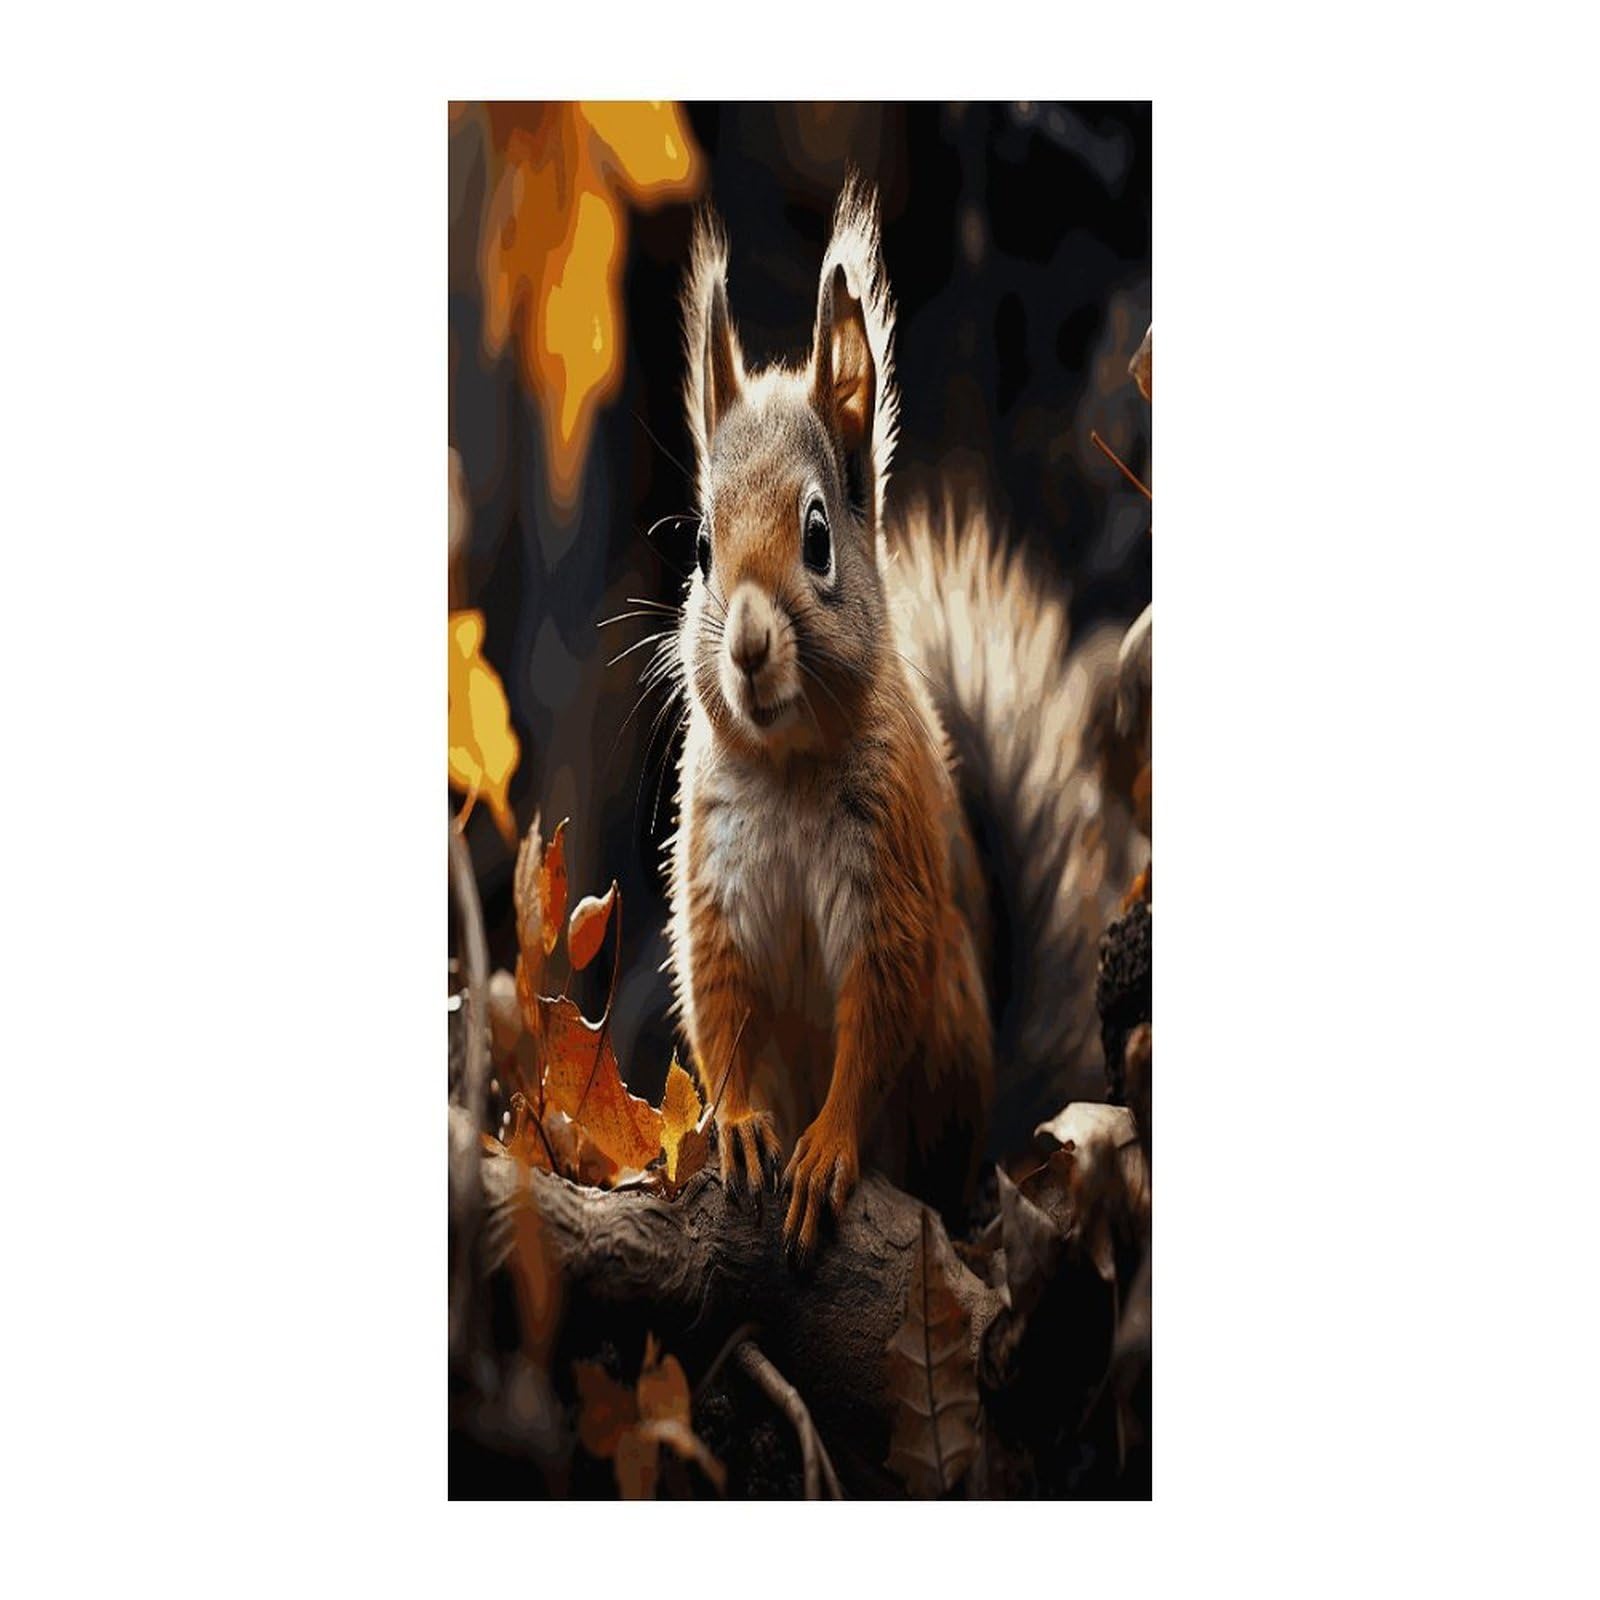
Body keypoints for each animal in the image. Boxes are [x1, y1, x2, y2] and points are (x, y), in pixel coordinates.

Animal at [663, 175, 1145, 1264]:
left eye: (817, 536)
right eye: (703, 549)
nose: (745, 646)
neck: (790, 769)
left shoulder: (890, 877)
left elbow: (875, 1018)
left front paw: (828, 1147)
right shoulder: (717, 881)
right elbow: (721, 1008)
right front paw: (744, 1123)